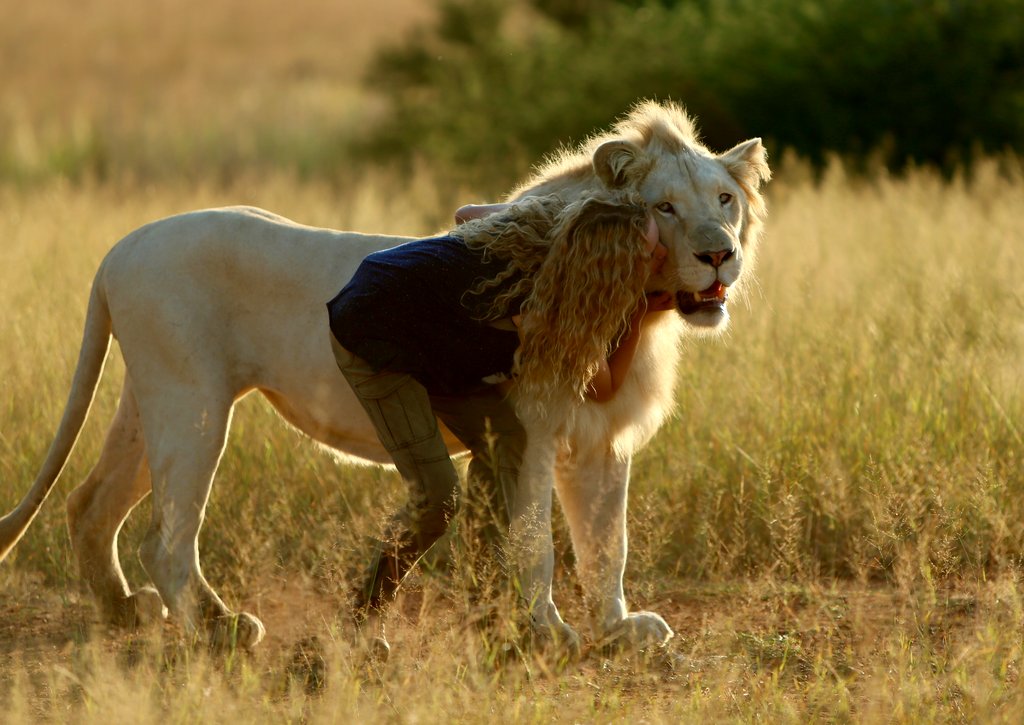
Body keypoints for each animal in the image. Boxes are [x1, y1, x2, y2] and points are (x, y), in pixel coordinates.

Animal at [0, 101, 769, 653]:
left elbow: (608, 544)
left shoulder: (603, 441)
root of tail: (119, 248)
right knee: (164, 536)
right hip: (193, 404)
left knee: (89, 504)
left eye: (724, 199)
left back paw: (124, 615)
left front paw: (617, 630)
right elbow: (536, 543)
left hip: (151, 398)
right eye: (665, 207)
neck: (636, 310)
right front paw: (548, 632)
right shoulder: (527, 430)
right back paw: (220, 631)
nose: (719, 255)